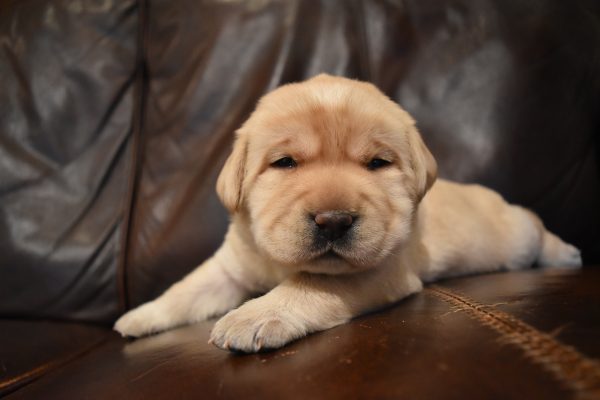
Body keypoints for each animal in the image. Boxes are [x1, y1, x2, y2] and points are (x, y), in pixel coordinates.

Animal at [113, 73, 580, 352]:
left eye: (377, 163)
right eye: (285, 162)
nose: (333, 220)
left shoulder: (380, 269)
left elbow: (310, 283)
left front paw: (256, 314)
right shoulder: (231, 265)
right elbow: (188, 288)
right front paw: (141, 315)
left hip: (515, 235)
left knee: (536, 227)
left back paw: (566, 252)